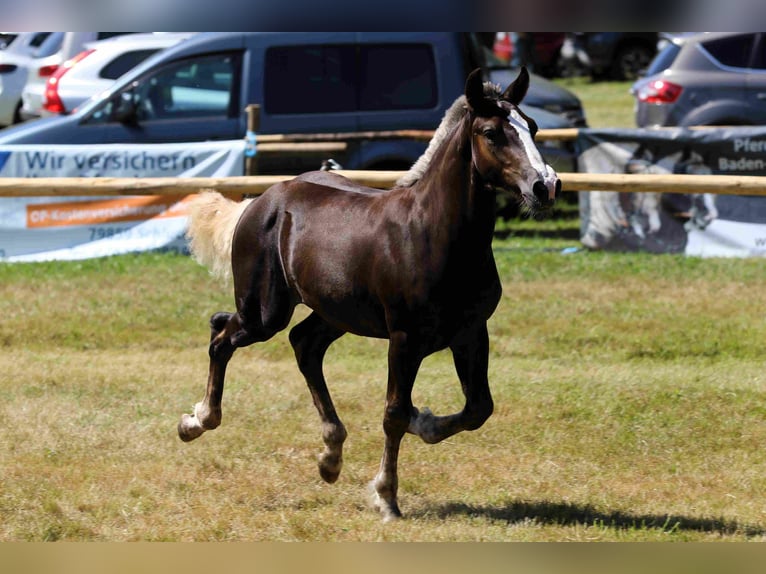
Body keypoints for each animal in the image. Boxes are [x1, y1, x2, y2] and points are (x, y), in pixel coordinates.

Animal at [181, 67, 564, 520]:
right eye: (491, 133)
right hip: (264, 311)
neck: (433, 234)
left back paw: (330, 457)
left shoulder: (471, 333)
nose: (545, 186)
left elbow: (478, 408)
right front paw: (387, 497)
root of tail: (260, 201)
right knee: (222, 333)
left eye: (532, 127)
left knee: (303, 344)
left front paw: (424, 421)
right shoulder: (404, 338)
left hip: (334, 313)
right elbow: (394, 413)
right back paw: (197, 421)